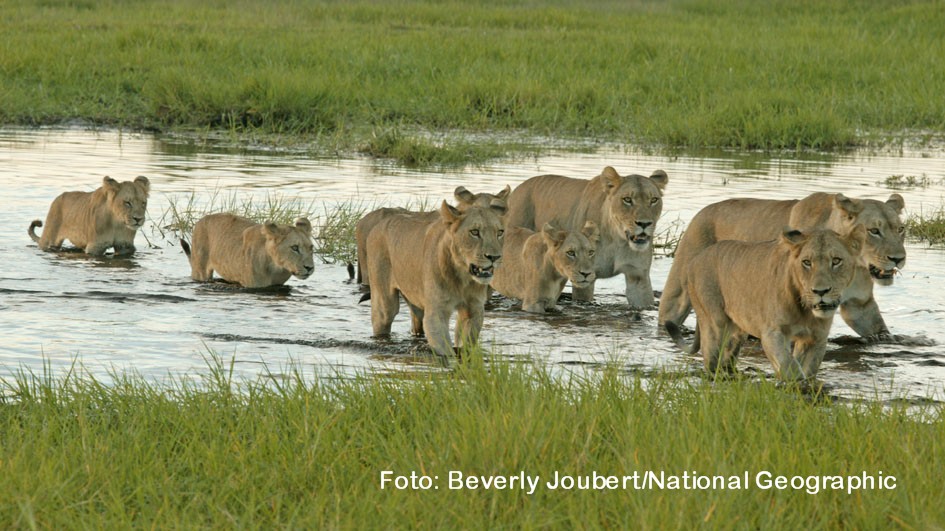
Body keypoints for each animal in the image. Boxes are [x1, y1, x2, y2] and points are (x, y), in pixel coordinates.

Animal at [180, 213, 315, 288]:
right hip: (200, 271)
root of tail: (201, 220)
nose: (309, 268)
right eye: (295, 248)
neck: (277, 268)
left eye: (311, 248)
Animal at [364, 200, 507, 364]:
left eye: (500, 233)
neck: (462, 278)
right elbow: (445, 350)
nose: (494, 257)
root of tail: (378, 224)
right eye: (475, 232)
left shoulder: (473, 309)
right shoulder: (437, 313)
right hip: (384, 304)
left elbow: (466, 344)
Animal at [506, 166, 668, 310]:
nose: (644, 223)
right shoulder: (584, 278)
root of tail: (518, 189)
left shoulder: (638, 277)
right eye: (627, 199)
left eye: (654, 200)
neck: (617, 239)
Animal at [659, 192, 906, 339]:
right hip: (679, 289)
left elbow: (880, 331)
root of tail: (703, 211)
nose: (899, 258)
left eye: (900, 229)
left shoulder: (859, 306)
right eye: (874, 231)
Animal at [681, 226, 866, 381]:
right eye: (807, 262)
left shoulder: (816, 338)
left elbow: (808, 368)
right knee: (710, 356)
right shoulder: (772, 332)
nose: (820, 291)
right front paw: (793, 384)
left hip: (738, 331)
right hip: (715, 323)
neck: (805, 311)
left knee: (729, 354)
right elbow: (788, 364)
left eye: (836, 261)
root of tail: (695, 259)